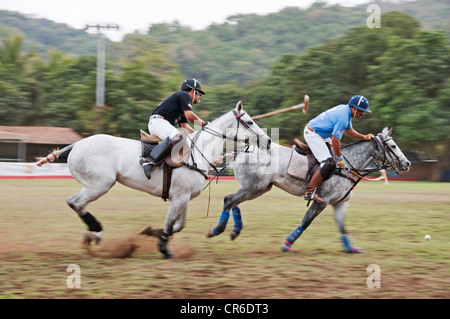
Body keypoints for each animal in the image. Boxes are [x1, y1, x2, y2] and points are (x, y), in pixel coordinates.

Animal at [36, 104, 270, 258]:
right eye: (249, 121)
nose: (267, 140)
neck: (199, 152)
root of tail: (77, 144)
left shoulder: (183, 197)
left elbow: (178, 224)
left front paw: (152, 233)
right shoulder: (180, 196)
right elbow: (170, 223)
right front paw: (164, 248)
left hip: (94, 185)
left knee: (75, 202)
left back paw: (92, 234)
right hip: (100, 184)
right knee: (76, 202)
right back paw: (96, 232)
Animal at [208, 127, 412, 255]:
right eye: (392, 146)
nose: (407, 163)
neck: (348, 165)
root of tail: (241, 151)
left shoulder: (340, 203)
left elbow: (342, 227)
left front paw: (352, 249)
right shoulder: (322, 201)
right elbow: (306, 222)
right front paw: (287, 244)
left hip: (259, 188)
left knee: (234, 201)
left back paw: (234, 230)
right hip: (253, 187)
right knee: (229, 199)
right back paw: (217, 230)